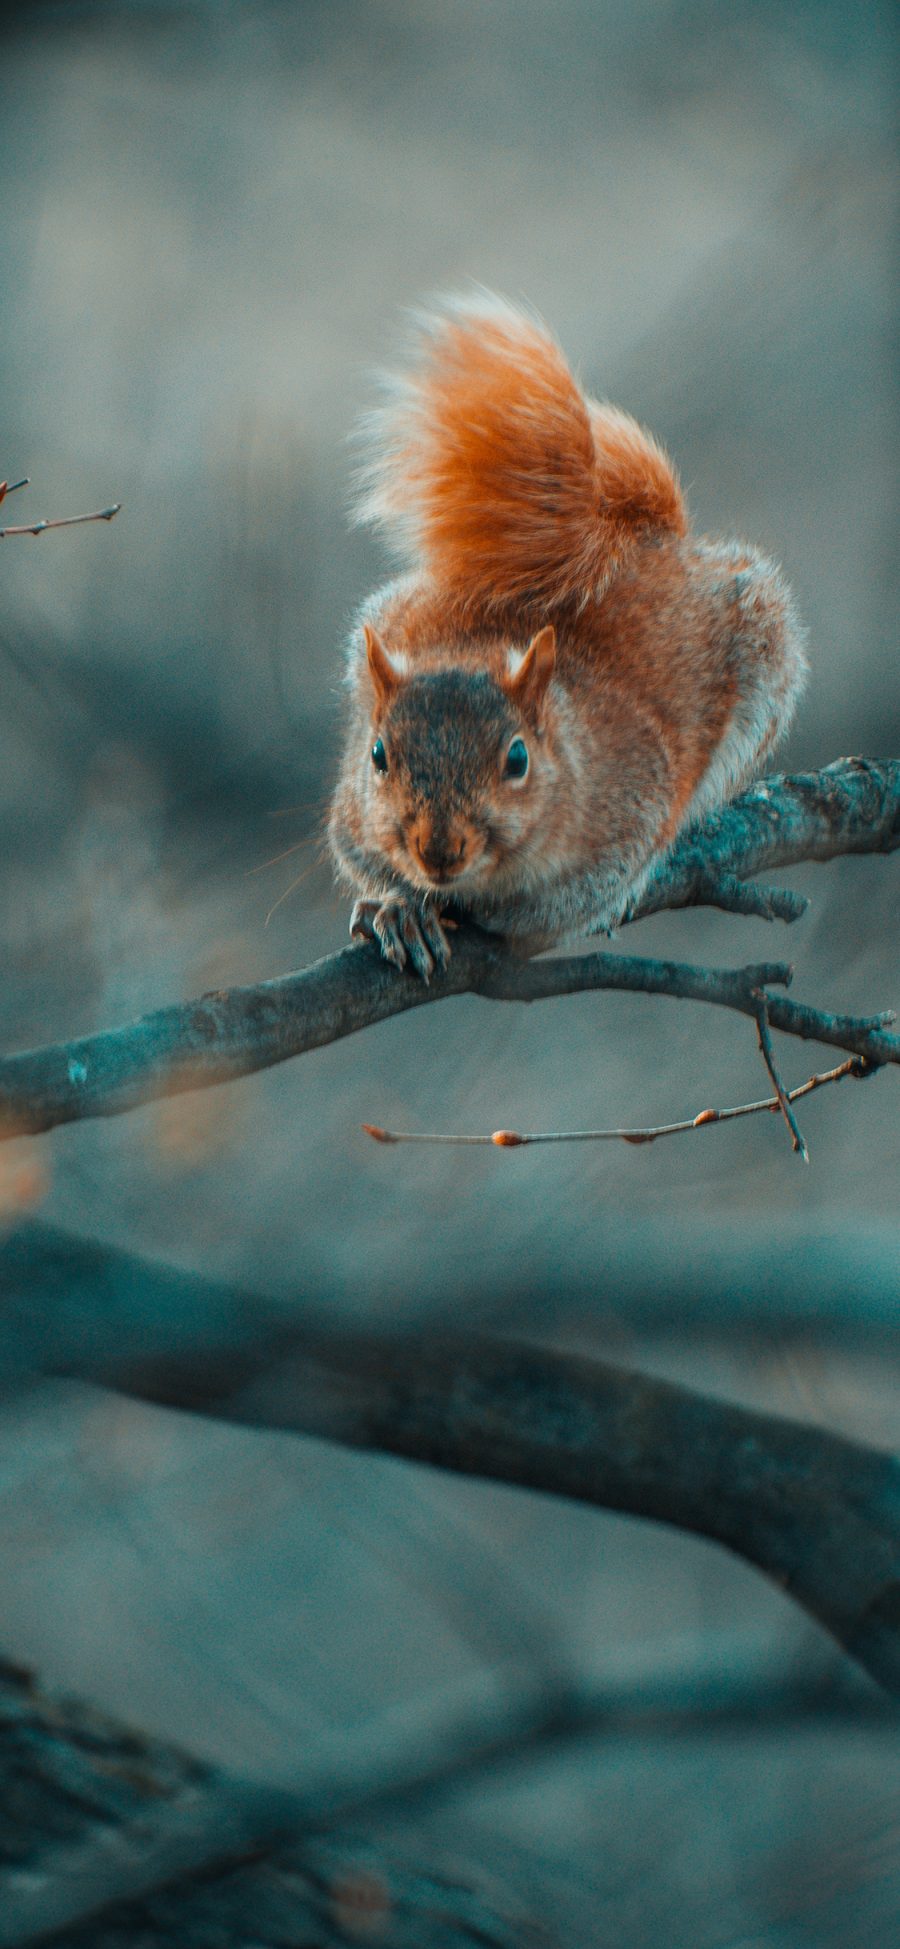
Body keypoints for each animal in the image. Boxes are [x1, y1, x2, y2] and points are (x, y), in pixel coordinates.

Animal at [327, 290, 806, 982]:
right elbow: (357, 852)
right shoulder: (351, 812)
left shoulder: (627, 814)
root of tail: (652, 536)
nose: (439, 852)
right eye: (377, 756)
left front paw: (490, 914)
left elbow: (568, 899)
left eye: (518, 759)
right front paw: (398, 908)